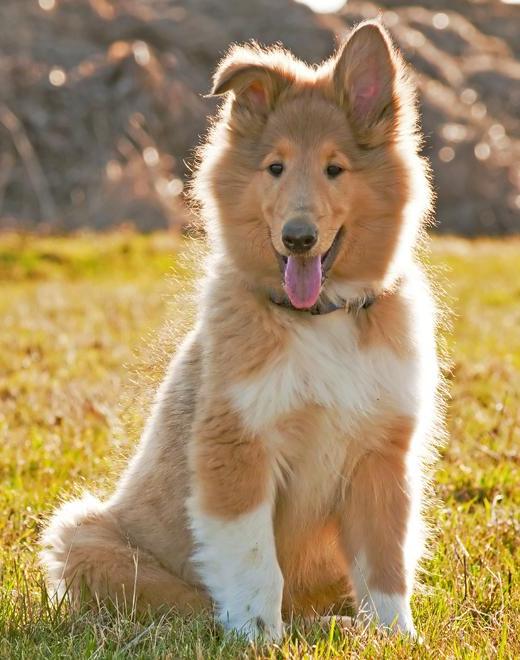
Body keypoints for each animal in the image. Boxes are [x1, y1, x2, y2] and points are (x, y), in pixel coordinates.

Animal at [40, 21, 440, 644]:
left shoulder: (380, 457)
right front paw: (260, 639)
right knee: (185, 603)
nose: (298, 238)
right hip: (83, 536)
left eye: (335, 169)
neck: (320, 318)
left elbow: (385, 564)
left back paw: (334, 623)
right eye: (275, 168)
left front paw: (394, 638)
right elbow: (256, 566)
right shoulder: (237, 449)